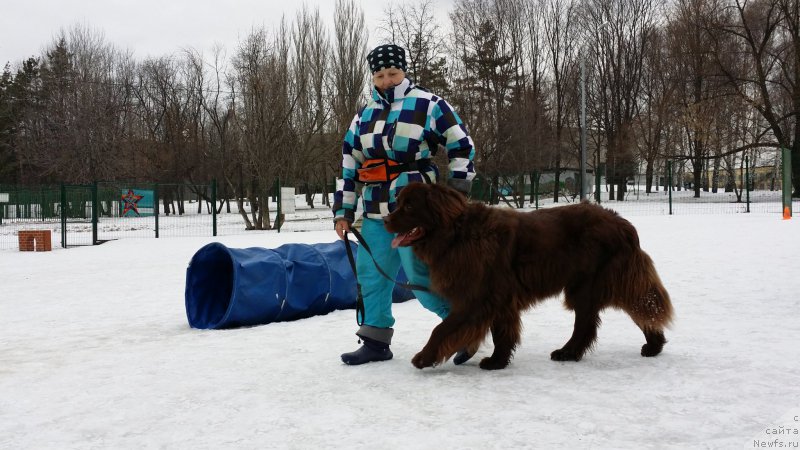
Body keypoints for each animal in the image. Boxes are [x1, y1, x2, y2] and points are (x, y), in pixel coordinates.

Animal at [384, 181, 672, 370]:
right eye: (398, 203)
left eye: (409, 206)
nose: (385, 220)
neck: (456, 235)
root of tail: (623, 224)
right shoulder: (497, 299)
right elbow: (501, 332)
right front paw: (497, 361)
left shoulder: (477, 298)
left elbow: (441, 328)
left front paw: (424, 357)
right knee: (600, 320)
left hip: (593, 282)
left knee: (621, 311)